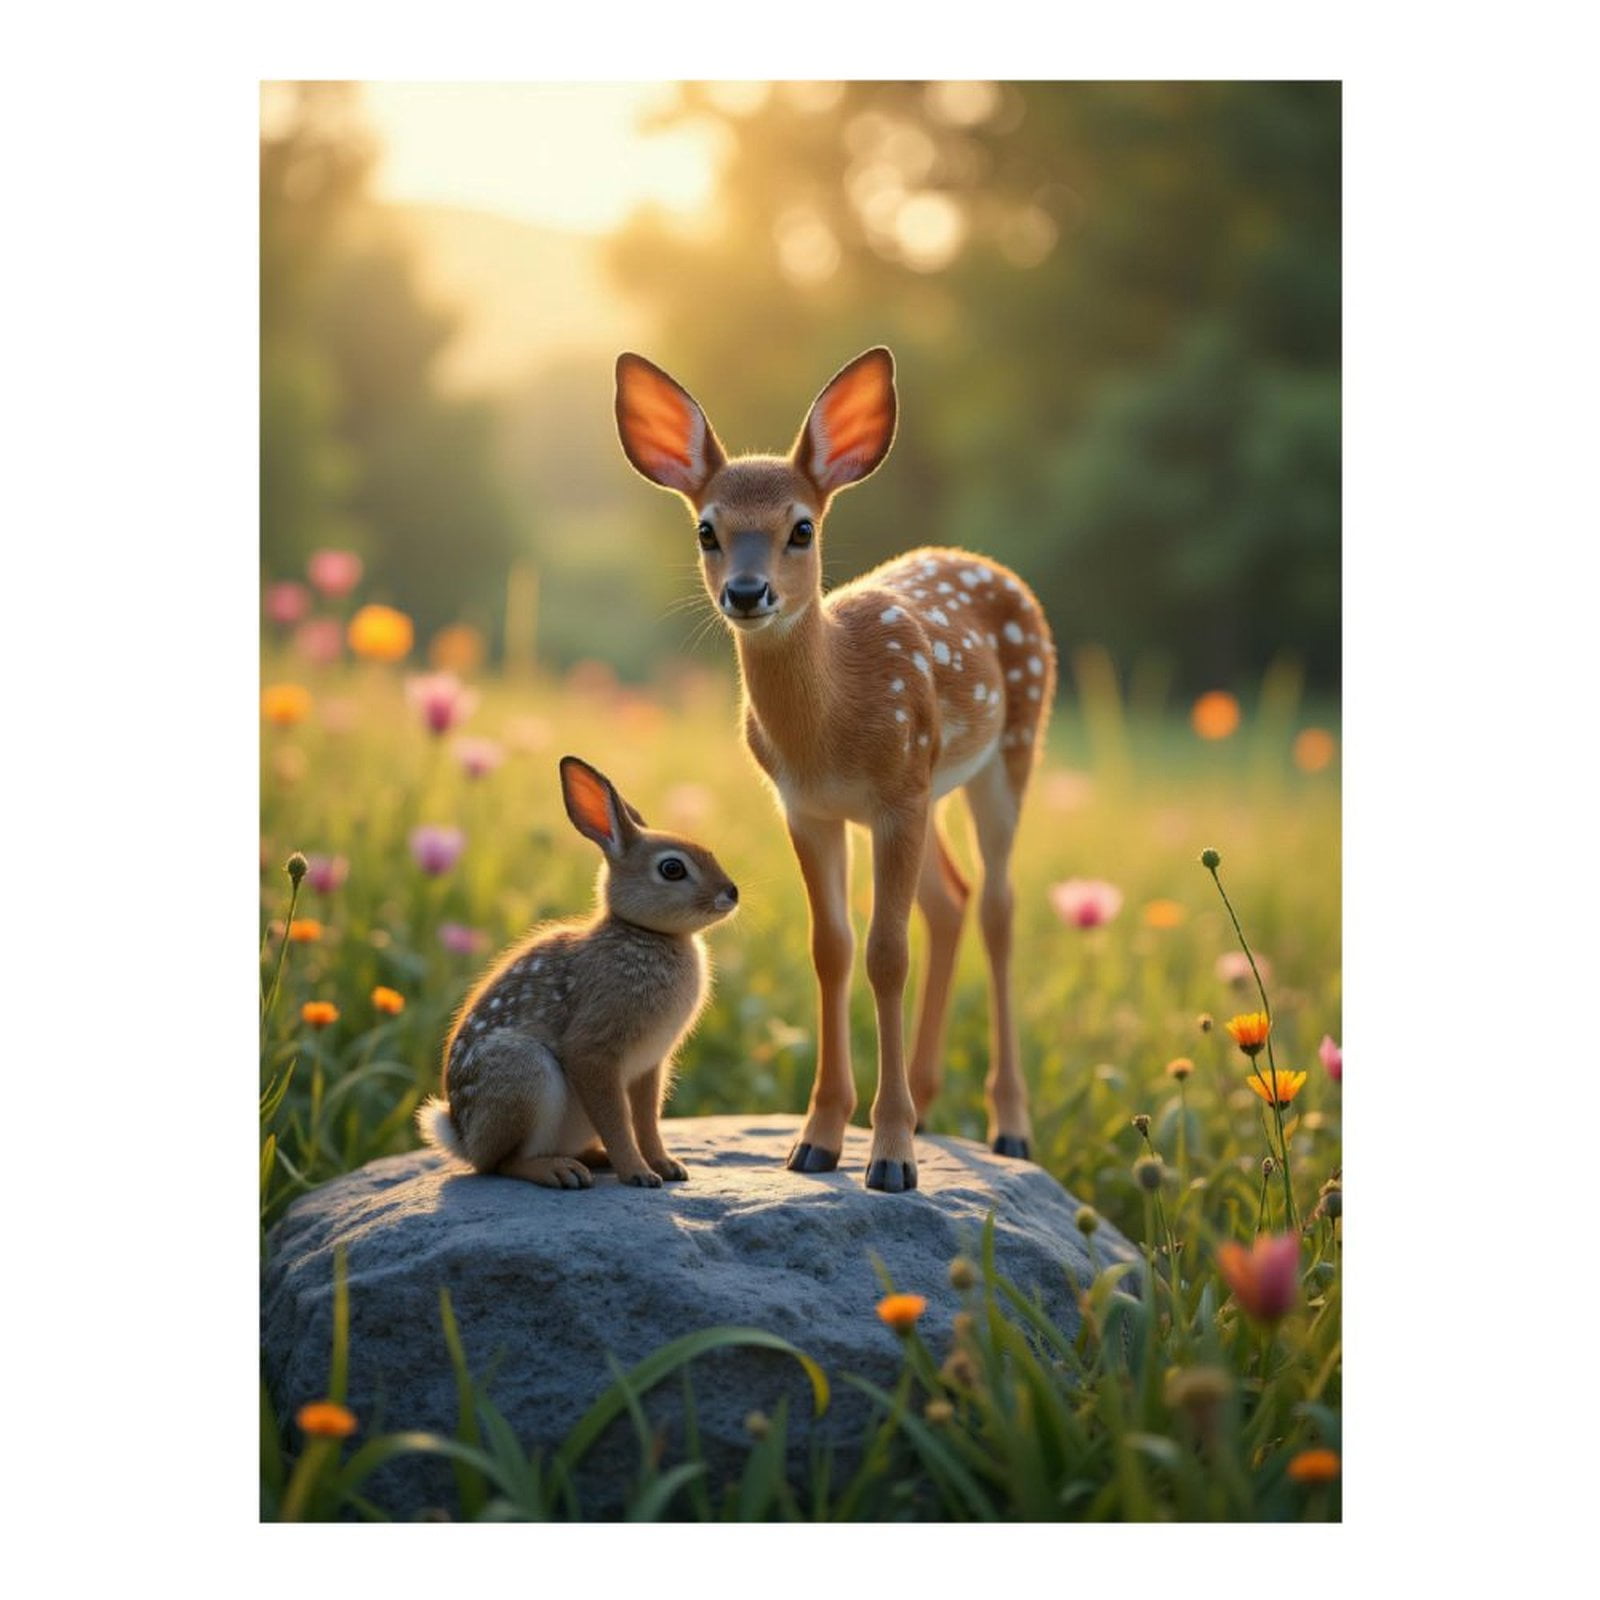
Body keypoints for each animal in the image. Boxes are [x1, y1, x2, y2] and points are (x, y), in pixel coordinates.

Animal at [416, 755, 739, 1189]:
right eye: (672, 868)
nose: (732, 892)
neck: (644, 931)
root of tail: (462, 1138)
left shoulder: (650, 1066)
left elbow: (647, 1120)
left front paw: (667, 1167)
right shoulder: (594, 1051)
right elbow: (617, 1119)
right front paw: (639, 1174)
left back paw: (593, 1160)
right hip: (524, 1073)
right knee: (501, 1163)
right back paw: (562, 1172)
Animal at [614, 347, 1056, 1192]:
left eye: (802, 528)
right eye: (707, 529)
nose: (746, 592)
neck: (832, 725)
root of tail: (991, 568)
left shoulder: (894, 796)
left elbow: (887, 954)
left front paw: (891, 1157)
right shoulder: (812, 807)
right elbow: (832, 949)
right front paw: (817, 1140)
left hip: (1009, 749)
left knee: (999, 906)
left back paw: (1011, 1127)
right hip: (933, 786)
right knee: (951, 898)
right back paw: (927, 1101)